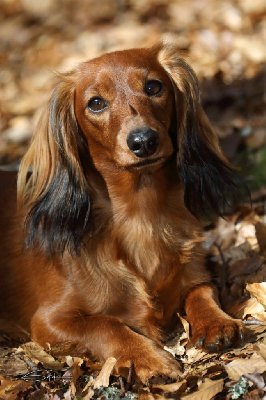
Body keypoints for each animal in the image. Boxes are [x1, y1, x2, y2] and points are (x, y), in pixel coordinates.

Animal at [0, 42, 246, 382]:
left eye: (154, 87)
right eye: (96, 103)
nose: (144, 141)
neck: (140, 216)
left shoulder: (196, 273)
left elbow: (203, 291)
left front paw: (215, 322)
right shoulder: (49, 320)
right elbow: (105, 324)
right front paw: (147, 357)